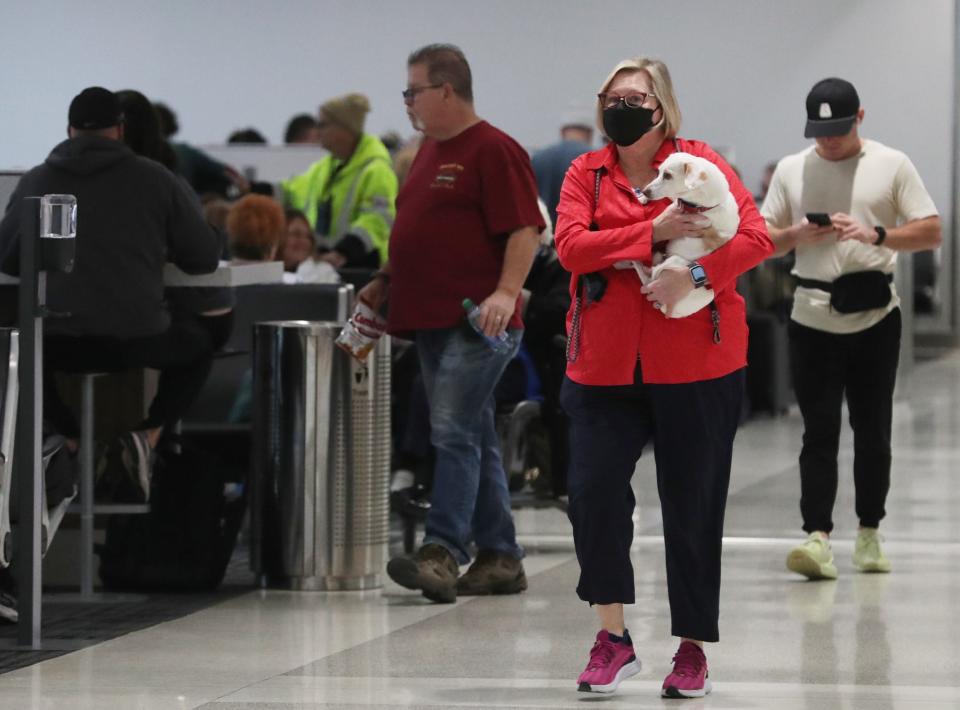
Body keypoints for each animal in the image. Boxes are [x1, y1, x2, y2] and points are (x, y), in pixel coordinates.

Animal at [632, 154, 740, 320]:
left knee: (649, 278)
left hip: (674, 262)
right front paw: (641, 197)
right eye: (659, 172)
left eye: (667, 175)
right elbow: (673, 199)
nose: (645, 191)